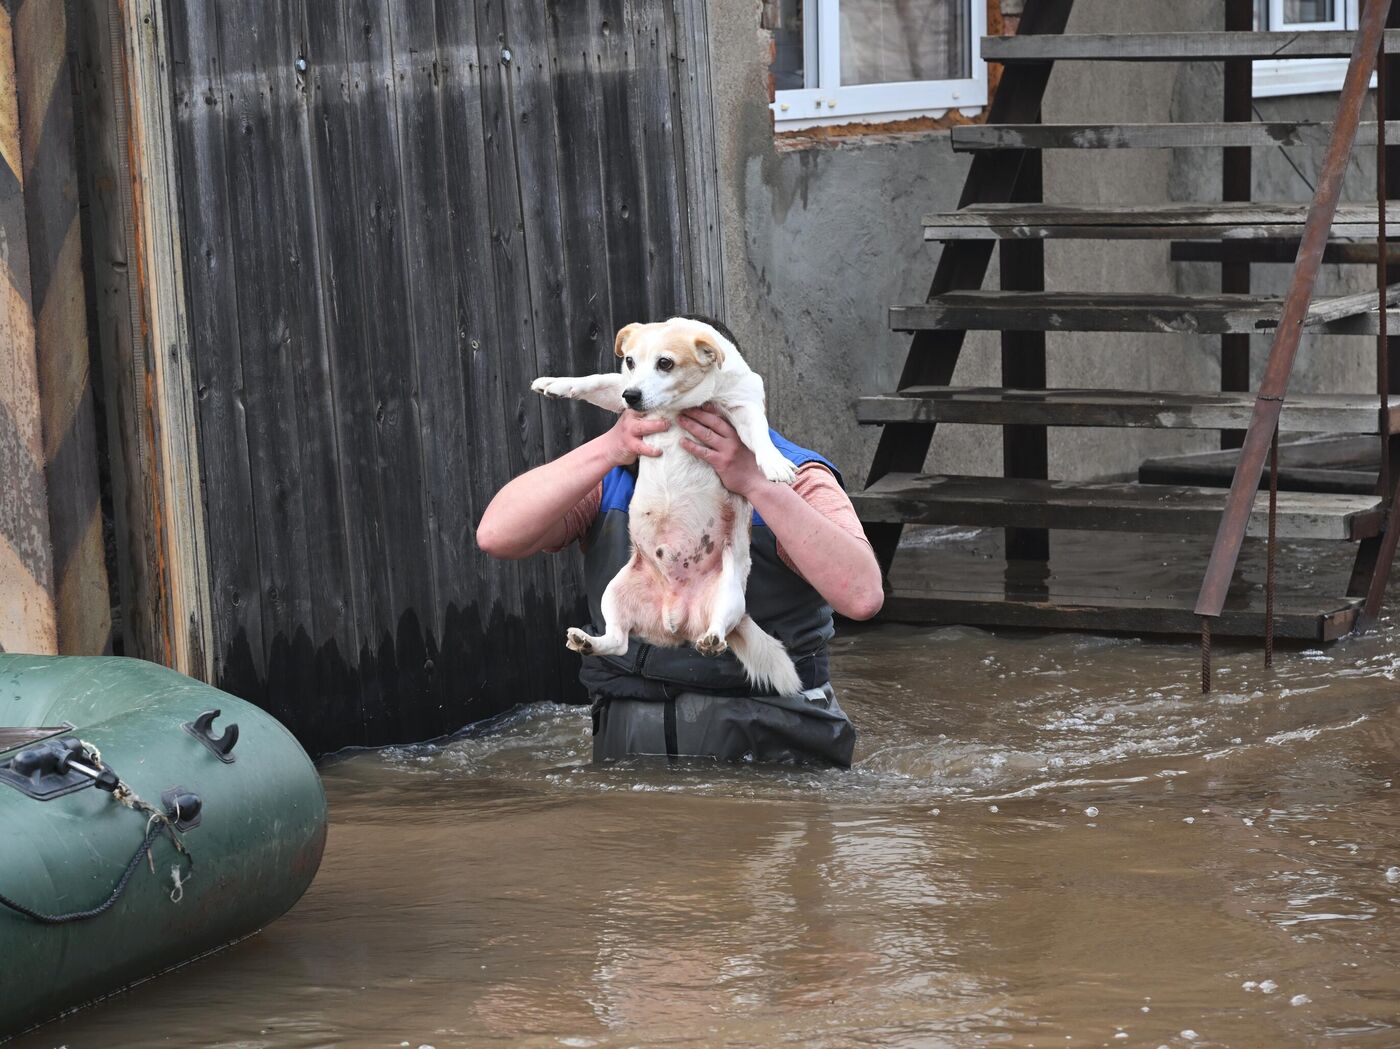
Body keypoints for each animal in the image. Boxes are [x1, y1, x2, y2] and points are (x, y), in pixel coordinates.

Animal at [532, 319, 806, 694]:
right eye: (630, 360)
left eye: (666, 363)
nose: (632, 397)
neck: (677, 406)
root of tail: (676, 617)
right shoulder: (619, 387)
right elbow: (596, 380)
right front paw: (556, 384)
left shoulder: (743, 405)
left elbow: (760, 435)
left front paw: (773, 462)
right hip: (613, 593)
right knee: (617, 641)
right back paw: (588, 641)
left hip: (730, 595)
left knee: (716, 630)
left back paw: (712, 639)